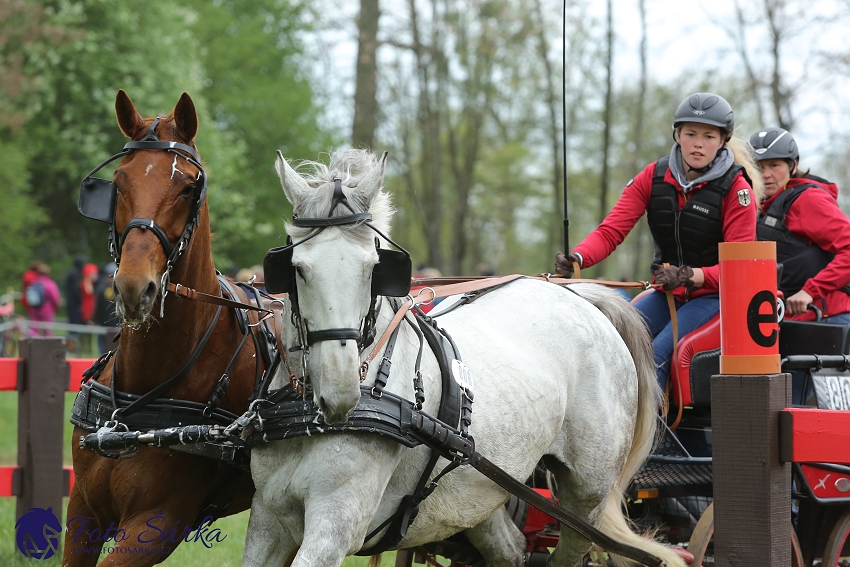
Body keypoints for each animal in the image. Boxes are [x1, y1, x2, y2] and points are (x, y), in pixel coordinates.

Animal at [243, 149, 684, 564]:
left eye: (373, 268)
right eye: (297, 268)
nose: (340, 395)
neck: (306, 419)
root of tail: (578, 295)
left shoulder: (335, 526)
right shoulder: (267, 521)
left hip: (588, 492)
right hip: (479, 489)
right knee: (509, 549)